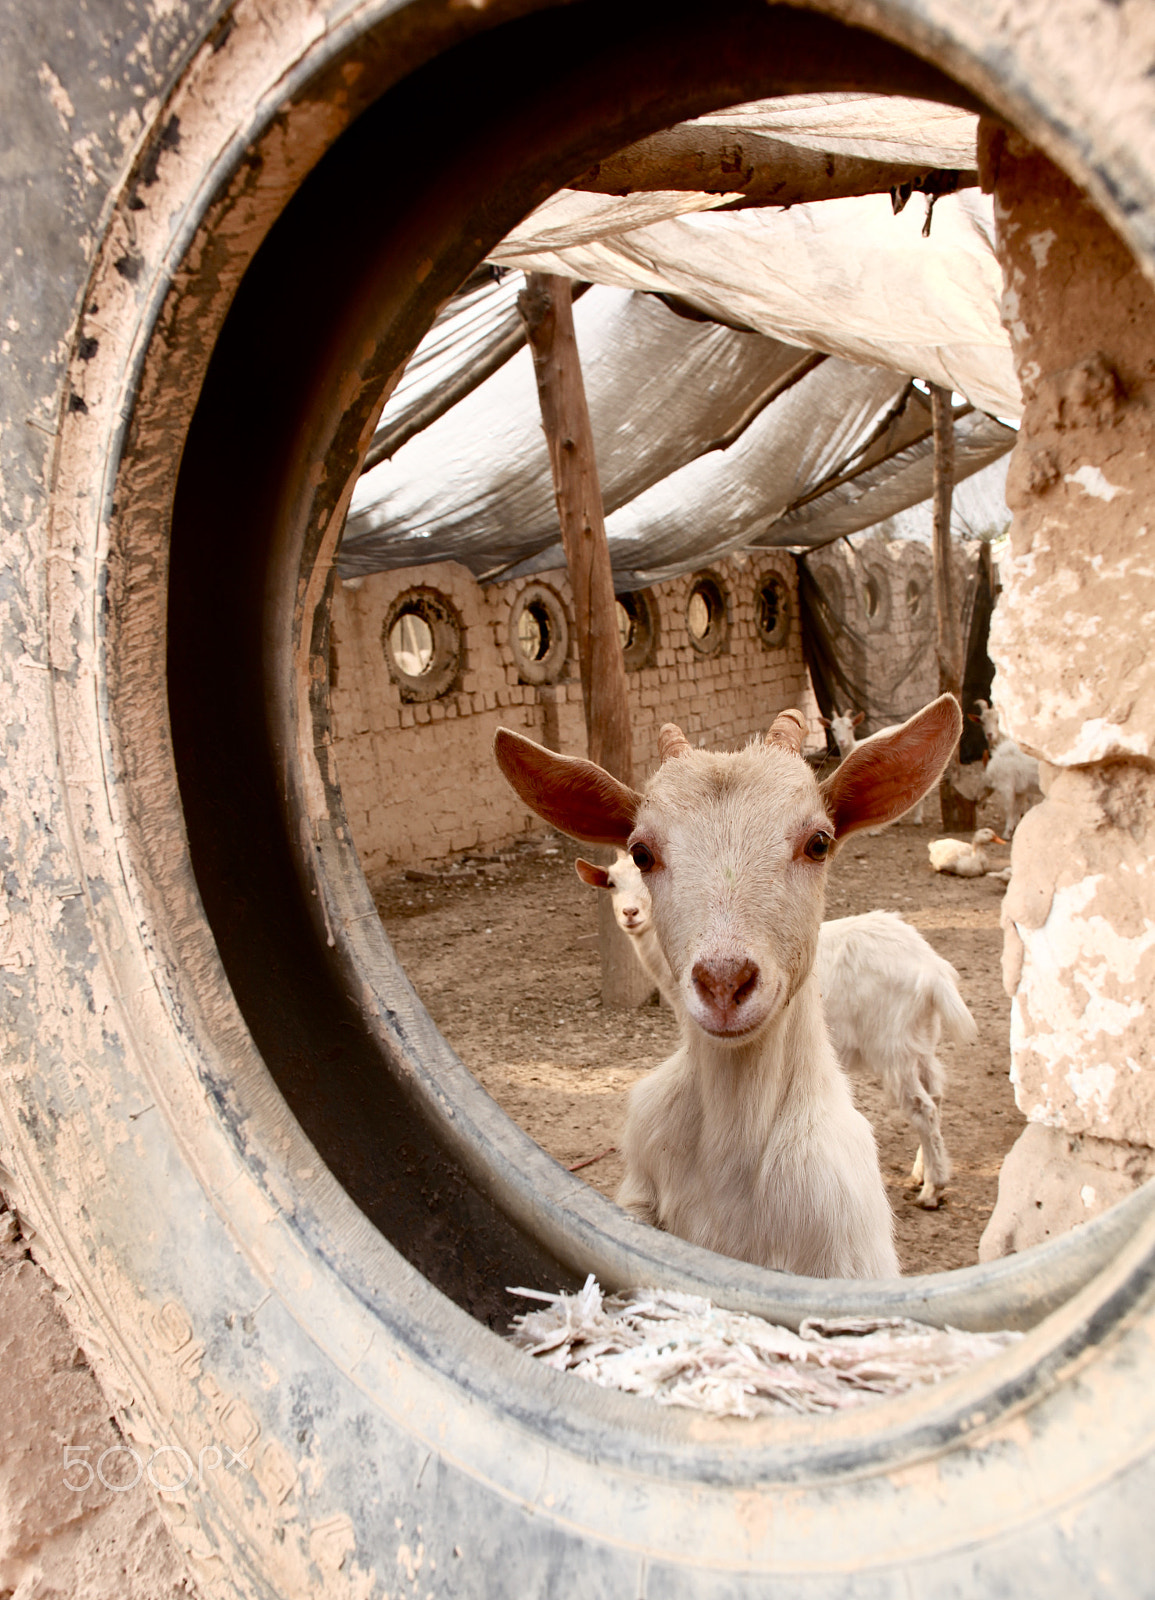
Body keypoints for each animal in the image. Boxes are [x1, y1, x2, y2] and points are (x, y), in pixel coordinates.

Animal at [579, 857, 966, 1203]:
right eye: (611, 883)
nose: (630, 914)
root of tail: (933, 969)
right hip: (919, 1039)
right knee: (936, 1094)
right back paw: (923, 1173)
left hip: (892, 1045)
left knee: (922, 1106)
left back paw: (933, 1190)